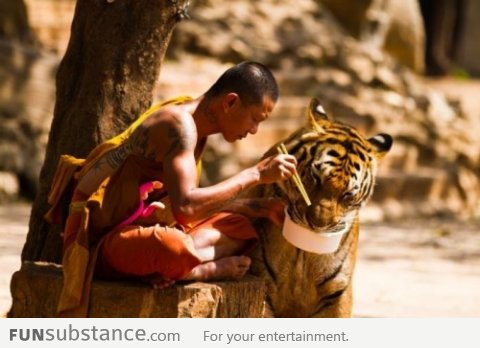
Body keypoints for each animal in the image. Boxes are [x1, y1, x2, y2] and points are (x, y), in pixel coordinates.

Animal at [249, 96, 392, 316]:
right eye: (315, 177)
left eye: (348, 195)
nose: (317, 224)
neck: (303, 252)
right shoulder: (263, 283)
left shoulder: (337, 293)